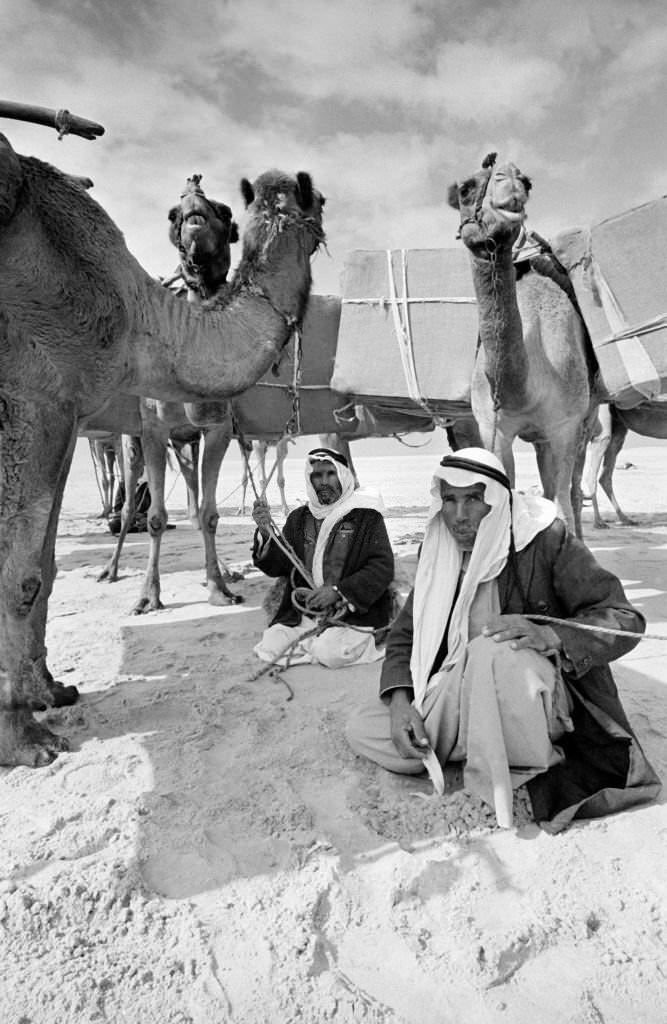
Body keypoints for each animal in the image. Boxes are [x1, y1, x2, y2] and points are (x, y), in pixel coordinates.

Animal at [0, 130, 325, 770]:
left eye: (224, 214)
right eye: (176, 215)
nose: (196, 230)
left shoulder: (74, 408)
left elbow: (45, 561)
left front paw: (49, 691)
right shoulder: (38, 394)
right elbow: (26, 570)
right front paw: (24, 738)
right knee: (132, 503)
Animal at [448, 155, 594, 536]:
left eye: (527, 182)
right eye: (466, 189)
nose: (509, 179)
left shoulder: (565, 425)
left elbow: (563, 503)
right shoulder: (493, 427)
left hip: (586, 421)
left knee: (571, 491)